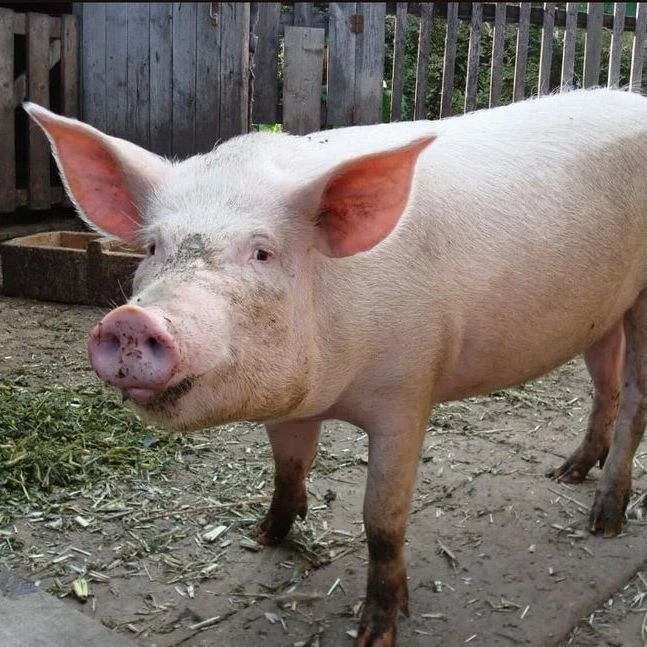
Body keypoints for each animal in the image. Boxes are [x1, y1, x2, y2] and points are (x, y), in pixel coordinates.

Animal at [24, 87, 647, 646]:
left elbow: (382, 518)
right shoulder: (288, 402)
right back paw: (566, 473)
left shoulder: (408, 392)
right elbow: (289, 466)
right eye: (153, 247)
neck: (333, 389)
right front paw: (264, 536)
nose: (132, 320)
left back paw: (603, 521)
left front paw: (375, 634)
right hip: (601, 313)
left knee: (635, 398)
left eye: (262, 252)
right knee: (605, 386)